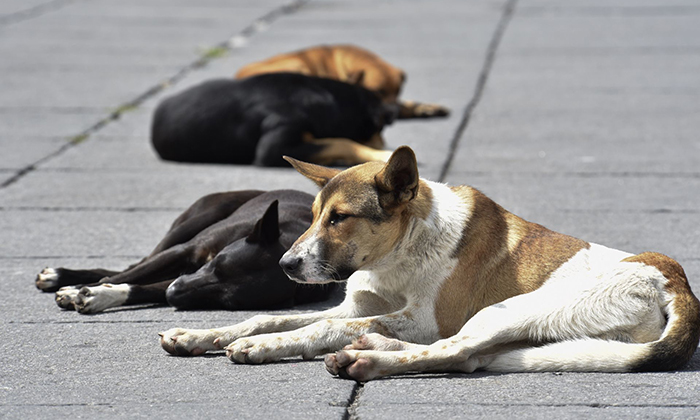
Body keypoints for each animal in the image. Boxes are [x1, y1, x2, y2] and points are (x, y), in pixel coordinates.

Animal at [35, 190, 336, 316]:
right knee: (134, 265)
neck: (288, 238)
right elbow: (127, 276)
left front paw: (101, 295)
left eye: (227, 302)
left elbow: (141, 287)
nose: (174, 293)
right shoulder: (184, 254)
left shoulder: (184, 279)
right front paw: (80, 290)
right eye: (216, 264)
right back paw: (62, 277)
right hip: (193, 223)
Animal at [160, 146, 700, 382]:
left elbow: (315, 329)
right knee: (468, 357)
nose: (287, 265)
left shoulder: (425, 318)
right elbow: (270, 316)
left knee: (452, 349)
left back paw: (367, 359)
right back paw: (372, 347)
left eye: (340, 218)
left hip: (510, 310)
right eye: (312, 216)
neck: (402, 251)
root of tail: (677, 283)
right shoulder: (355, 305)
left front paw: (265, 347)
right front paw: (201, 334)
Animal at [235, 44, 452, 120]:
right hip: (296, 65)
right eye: (377, 92)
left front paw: (425, 107)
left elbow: (405, 104)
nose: (391, 114)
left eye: (398, 91)